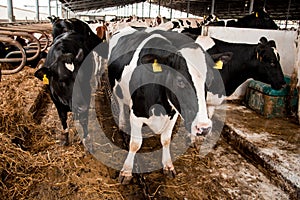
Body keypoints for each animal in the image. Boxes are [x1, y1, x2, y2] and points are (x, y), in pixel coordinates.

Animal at [108, 26, 216, 184]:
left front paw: (168, 165)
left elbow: (166, 140)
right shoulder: (137, 113)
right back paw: (122, 124)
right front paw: (126, 171)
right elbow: (135, 144)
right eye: (180, 81)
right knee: (122, 105)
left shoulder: (173, 113)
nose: (204, 128)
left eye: (210, 80)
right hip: (116, 89)